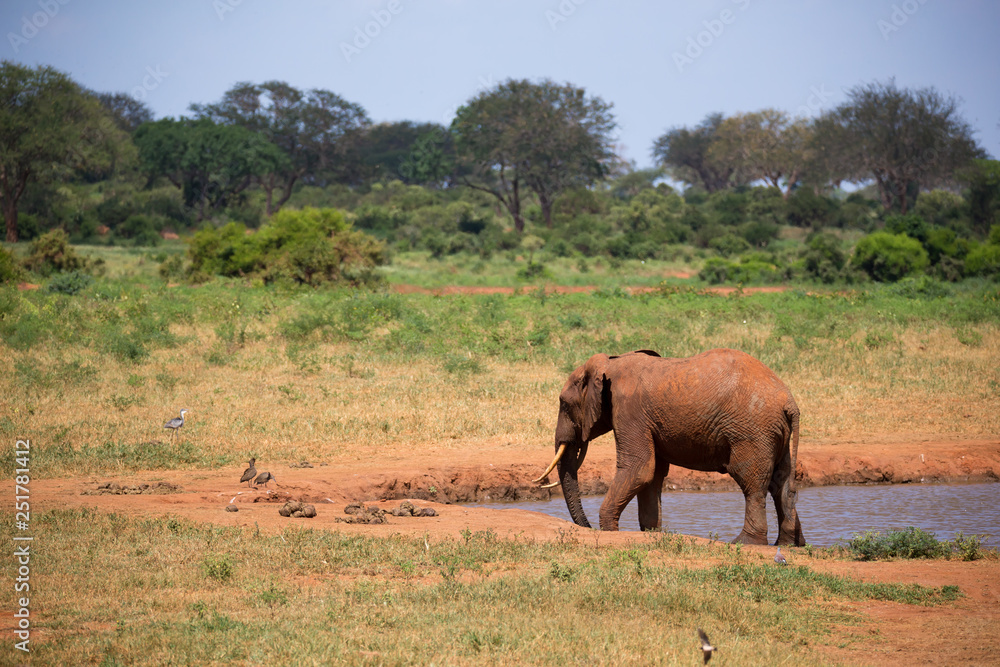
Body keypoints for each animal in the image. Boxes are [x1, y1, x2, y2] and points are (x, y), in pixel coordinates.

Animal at [532, 348, 804, 544]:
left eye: (564, 403)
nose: (587, 528)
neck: (610, 362)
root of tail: (789, 402)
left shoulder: (629, 411)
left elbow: (639, 468)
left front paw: (610, 531)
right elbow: (652, 475)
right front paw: (651, 533)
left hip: (752, 431)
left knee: (752, 482)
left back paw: (744, 542)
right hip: (773, 433)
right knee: (780, 483)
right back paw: (789, 543)